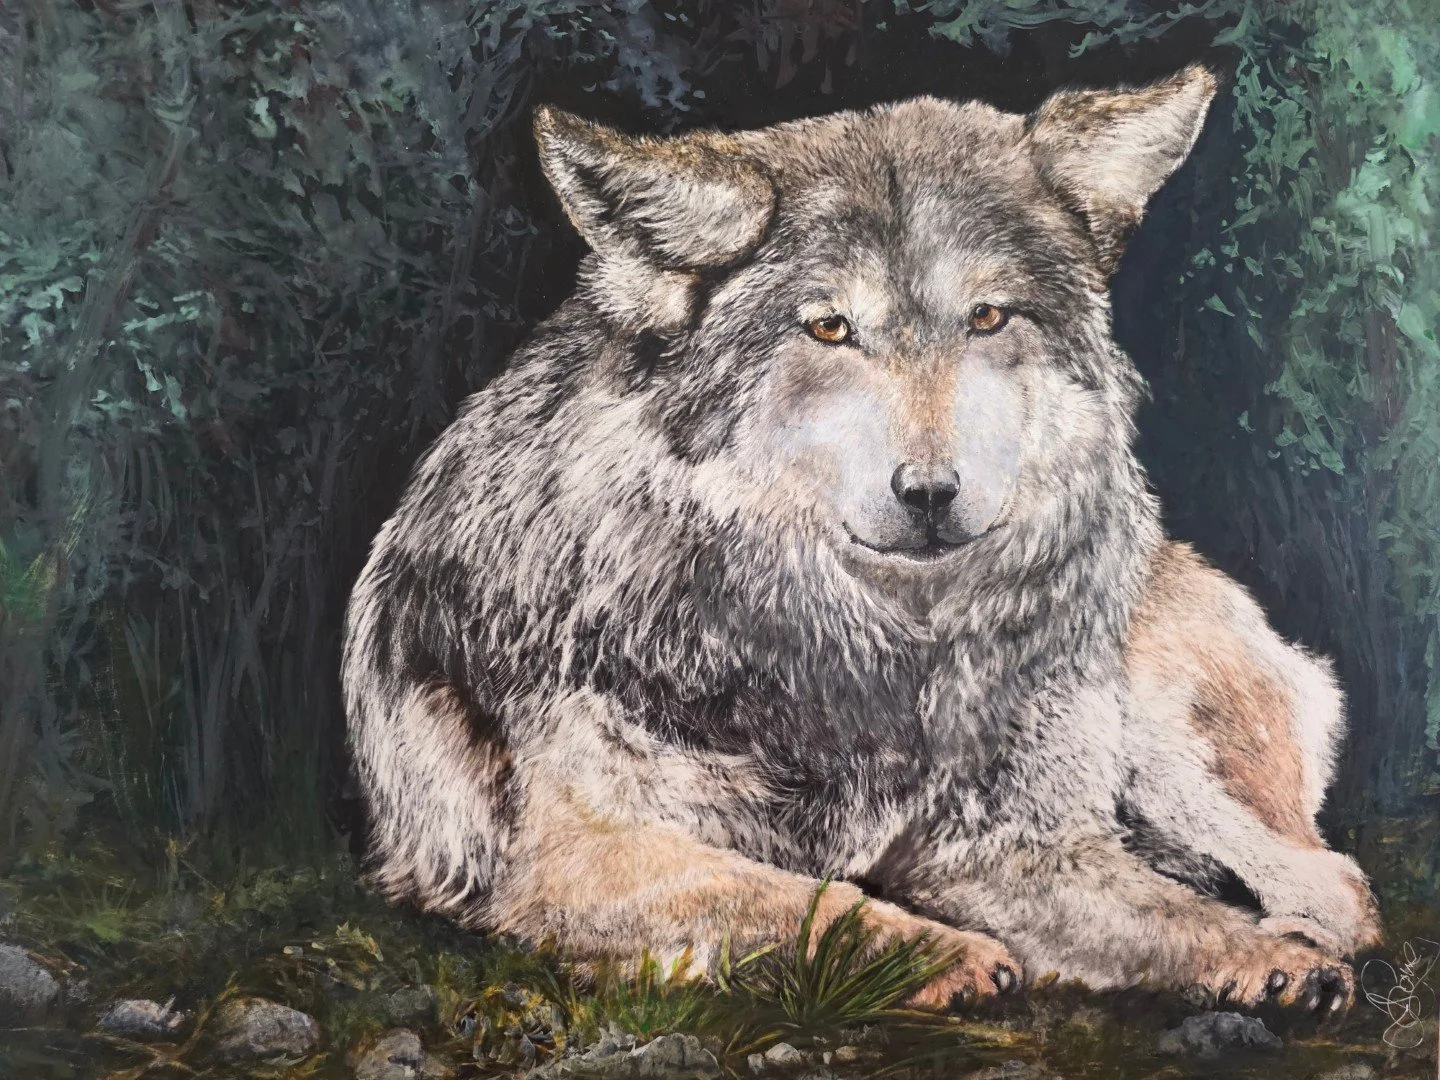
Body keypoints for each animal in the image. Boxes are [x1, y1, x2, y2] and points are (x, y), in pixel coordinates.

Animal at [342, 65, 1380, 1013]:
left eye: (988, 316)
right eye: (830, 328)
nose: (930, 492)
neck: (875, 661)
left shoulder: (1015, 842)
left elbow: (1170, 914)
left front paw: (1265, 959)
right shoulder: (581, 855)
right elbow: (806, 899)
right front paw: (948, 955)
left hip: (1165, 745)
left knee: (1333, 881)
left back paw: (1298, 929)